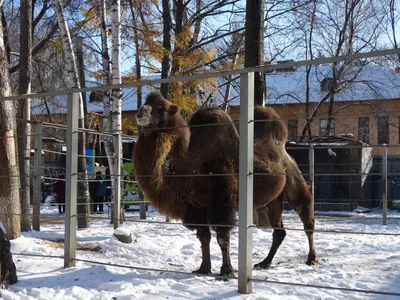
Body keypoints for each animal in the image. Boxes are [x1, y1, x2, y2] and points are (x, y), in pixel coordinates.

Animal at [133, 91, 318, 276]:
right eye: (146, 102)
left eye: (161, 110)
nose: (140, 112)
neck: (190, 165)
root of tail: (285, 152)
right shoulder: (196, 206)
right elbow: (203, 237)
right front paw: (203, 268)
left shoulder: (222, 201)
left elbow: (222, 237)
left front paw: (226, 271)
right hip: (274, 199)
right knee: (279, 231)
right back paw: (264, 263)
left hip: (294, 179)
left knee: (306, 217)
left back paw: (311, 258)